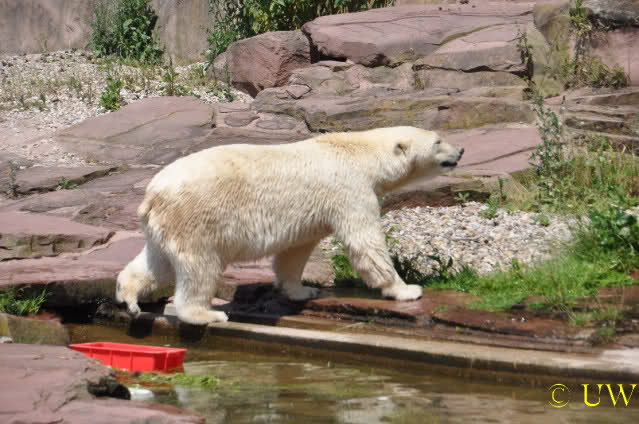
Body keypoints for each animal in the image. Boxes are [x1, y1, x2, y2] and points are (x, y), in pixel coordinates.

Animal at [115, 126, 464, 325]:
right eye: (438, 141)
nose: (461, 150)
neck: (358, 152)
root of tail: (152, 194)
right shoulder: (349, 190)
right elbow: (365, 242)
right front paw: (407, 290)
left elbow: (294, 252)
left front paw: (302, 289)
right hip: (197, 217)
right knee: (199, 267)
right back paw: (206, 313)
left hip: (167, 224)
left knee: (157, 261)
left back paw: (129, 296)